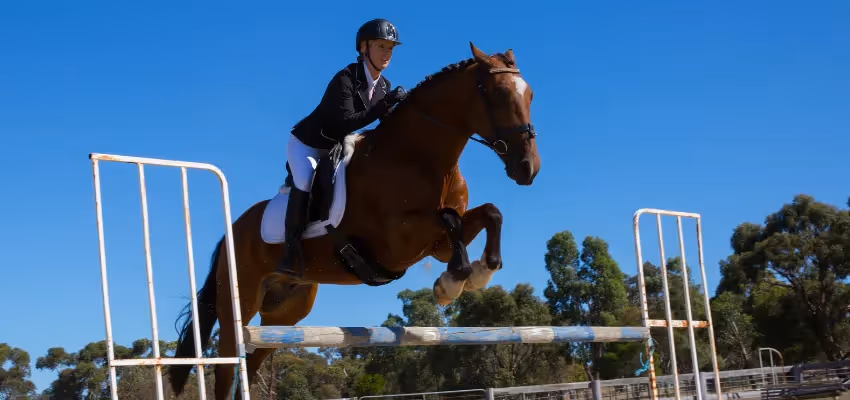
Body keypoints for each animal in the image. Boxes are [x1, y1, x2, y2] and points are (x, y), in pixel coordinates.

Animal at [167, 42, 540, 399]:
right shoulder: (397, 242)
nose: (528, 168)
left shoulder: (436, 247)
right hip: (240, 301)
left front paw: (479, 272)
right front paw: (450, 285)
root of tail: (232, 231)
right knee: (227, 364)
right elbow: (451, 220)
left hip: (286, 313)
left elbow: (488, 213)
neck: (418, 157)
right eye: (499, 94)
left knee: (255, 356)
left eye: (531, 95)